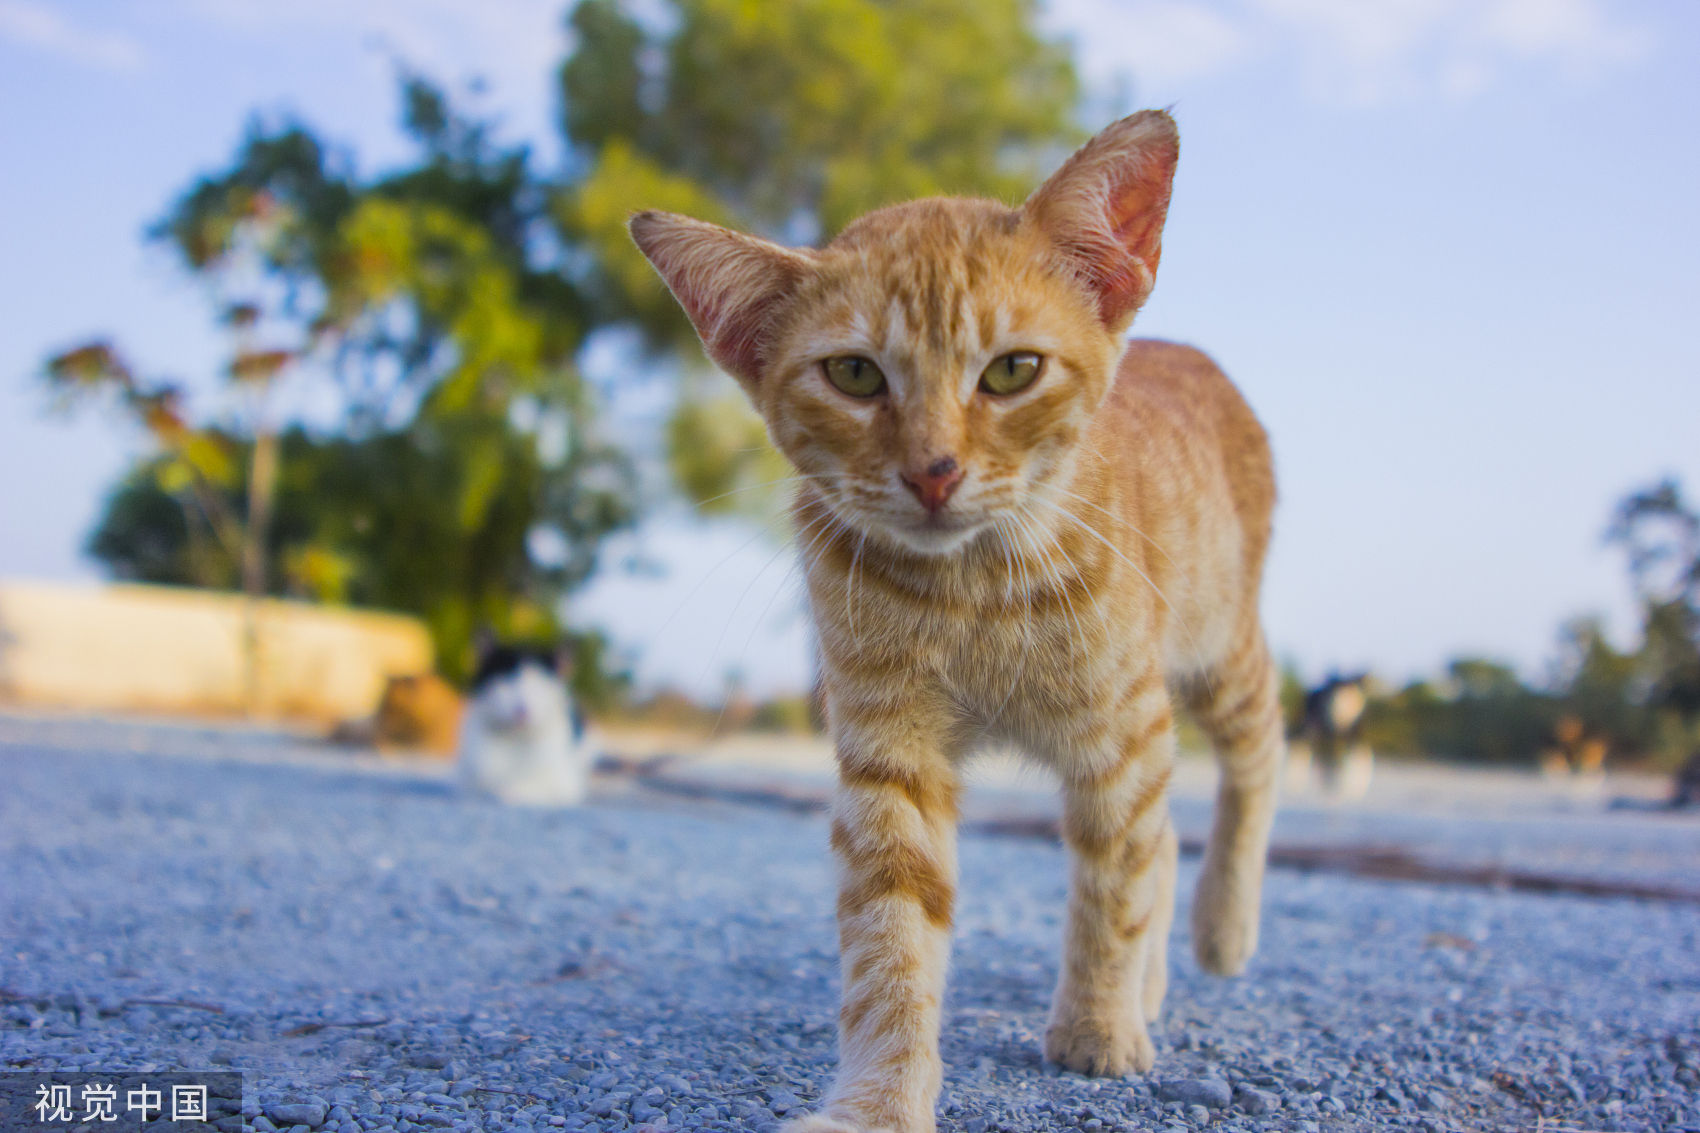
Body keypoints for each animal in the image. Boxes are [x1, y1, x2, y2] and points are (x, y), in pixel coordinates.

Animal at [459, 639, 591, 806]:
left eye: (539, 686)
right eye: (507, 680)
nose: (522, 710)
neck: (516, 741)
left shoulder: (564, 784)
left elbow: (522, 788)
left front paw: (506, 791)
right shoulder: (470, 778)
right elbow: (476, 787)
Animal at [639, 108, 1285, 1129]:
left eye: (1012, 370)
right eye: (855, 374)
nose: (934, 471)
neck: (970, 592)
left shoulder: (1123, 729)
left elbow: (1114, 888)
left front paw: (1097, 1024)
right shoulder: (890, 753)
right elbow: (890, 942)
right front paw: (880, 1097)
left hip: (1217, 651)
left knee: (1258, 751)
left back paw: (1223, 925)